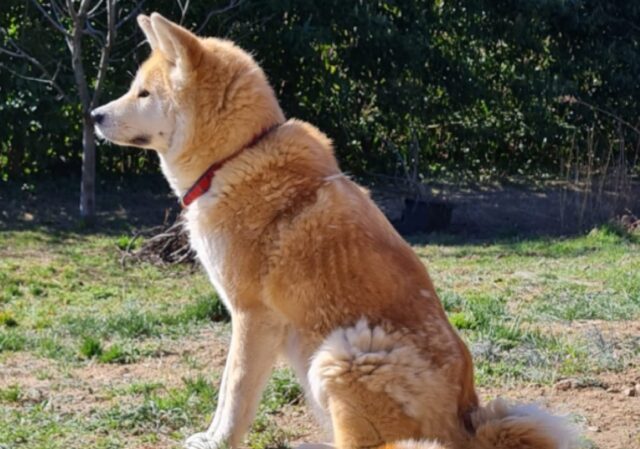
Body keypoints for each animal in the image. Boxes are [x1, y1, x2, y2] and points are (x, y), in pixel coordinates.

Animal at [92, 14, 576, 448]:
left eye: (144, 92)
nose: (94, 114)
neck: (235, 156)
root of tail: (470, 428)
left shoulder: (252, 317)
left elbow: (233, 395)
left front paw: (216, 442)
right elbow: (229, 396)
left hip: (343, 352)